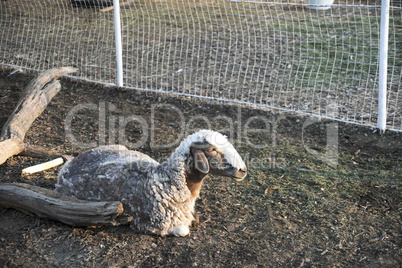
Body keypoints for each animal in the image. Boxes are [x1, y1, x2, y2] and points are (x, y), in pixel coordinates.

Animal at [55, 130, 247, 237]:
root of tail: (70, 162)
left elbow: (195, 219)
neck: (167, 181)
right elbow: (183, 230)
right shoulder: (155, 224)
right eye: (212, 149)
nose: (243, 170)